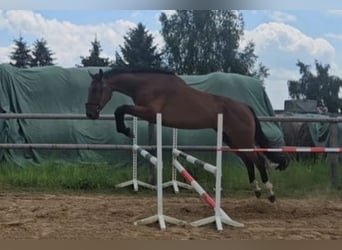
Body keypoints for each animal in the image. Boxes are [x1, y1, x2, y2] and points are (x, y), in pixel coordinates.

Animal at [85, 67, 288, 202]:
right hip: (231, 140)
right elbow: (120, 110)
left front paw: (127, 130)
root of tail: (245, 107)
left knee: (258, 159)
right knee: (249, 161)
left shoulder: (150, 112)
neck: (147, 84)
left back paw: (270, 193)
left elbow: (120, 109)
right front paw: (127, 130)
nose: (90, 114)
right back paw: (257, 190)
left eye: (97, 89)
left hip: (241, 138)